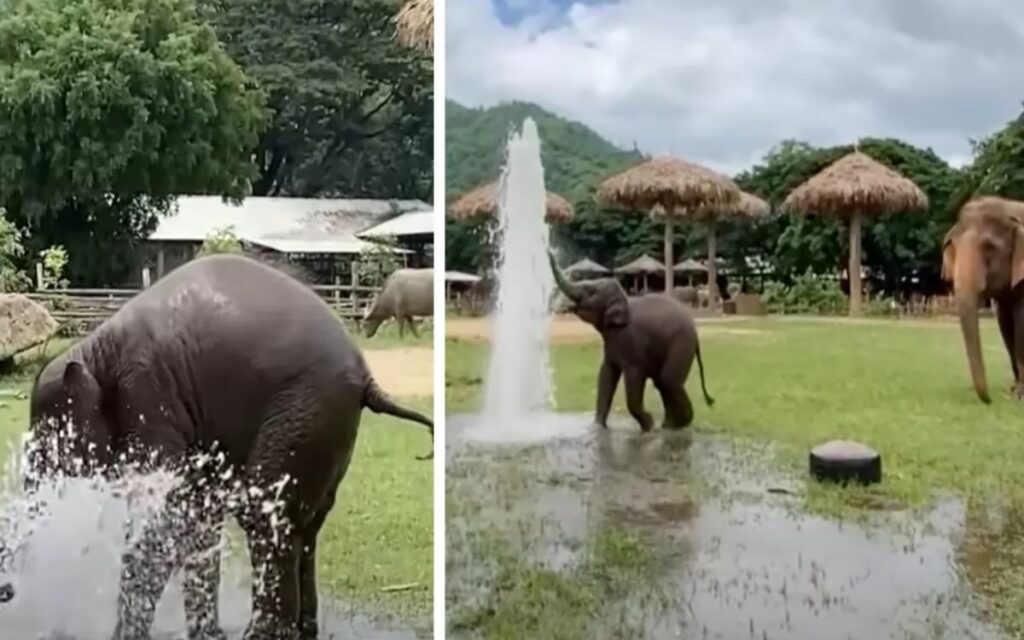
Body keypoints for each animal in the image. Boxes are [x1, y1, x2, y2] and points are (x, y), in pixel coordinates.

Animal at [23, 254, 432, 638]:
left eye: (48, 435)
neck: (95, 349)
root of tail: (366, 378)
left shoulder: (148, 401)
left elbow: (168, 515)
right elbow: (196, 517)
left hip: (306, 411)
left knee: (267, 518)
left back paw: (262, 634)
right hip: (327, 428)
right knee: (306, 527)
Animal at [552, 250, 712, 430]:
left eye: (590, 291)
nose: (548, 251)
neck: (623, 299)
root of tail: (695, 333)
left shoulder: (631, 341)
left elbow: (633, 376)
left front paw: (648, 425)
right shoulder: (612, 341)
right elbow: (606, 375)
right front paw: (598, 428)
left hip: (681, 344)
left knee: (669, 380)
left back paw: (679, 424)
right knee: (662, 383)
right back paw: (669, 425)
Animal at [937, 197, 1024, 401]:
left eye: (989, 247)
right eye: (953, 246)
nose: (989, 400)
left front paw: (1020, 396)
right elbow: (1006, 325)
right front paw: (1015, 391)